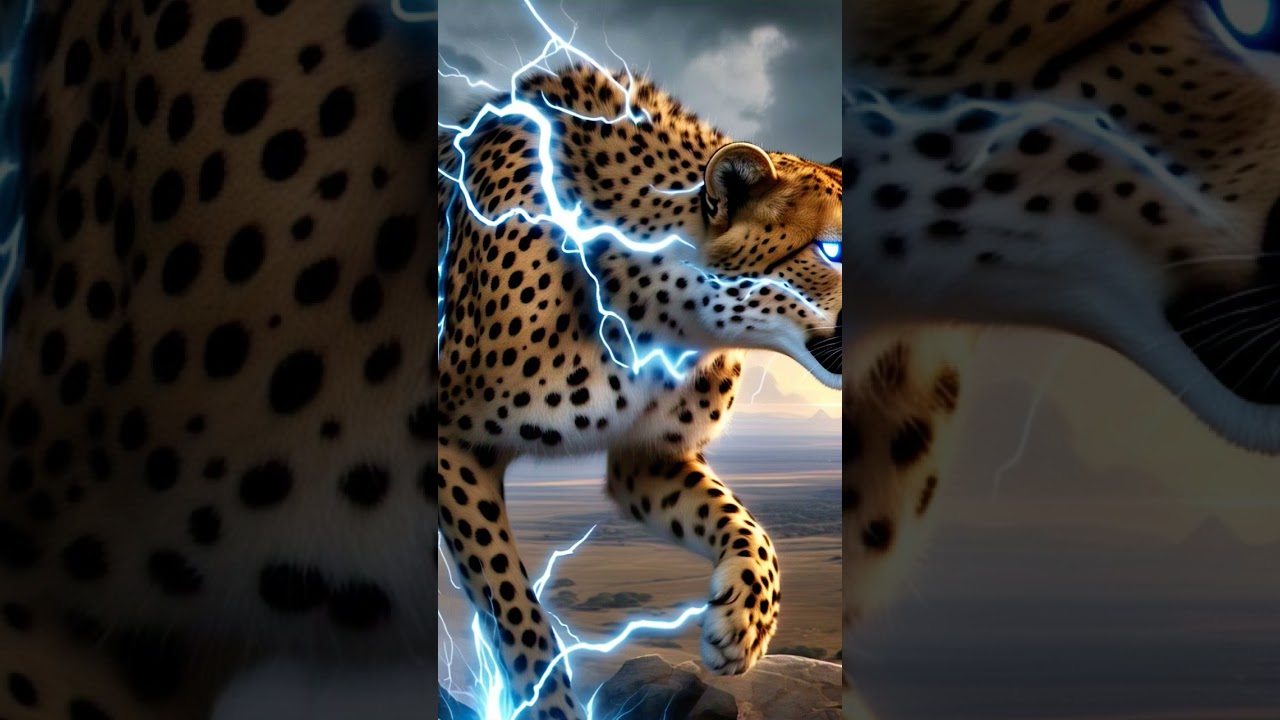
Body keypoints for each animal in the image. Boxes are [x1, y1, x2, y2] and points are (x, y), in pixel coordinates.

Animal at [436, 63, 842, 717]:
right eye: (831, 250)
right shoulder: (451, 442)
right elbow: (516, 612)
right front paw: (553, 705)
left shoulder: (649, 458)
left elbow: (747, 528)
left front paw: (745, 622)